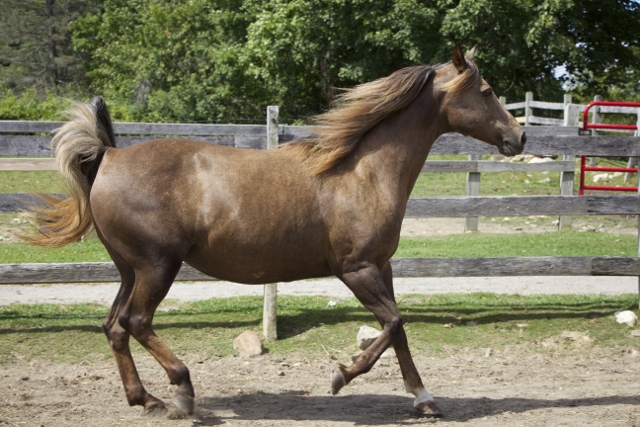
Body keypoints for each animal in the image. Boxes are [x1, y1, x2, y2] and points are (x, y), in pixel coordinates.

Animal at [25, 46, 524, 418]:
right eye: (486, 90)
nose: (519, 137)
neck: (363, 171)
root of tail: (108, 156)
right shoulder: (357, 268)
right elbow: (394, 323)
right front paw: (341, 375)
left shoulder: (382, 267)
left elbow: (397, 329)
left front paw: (425, 400)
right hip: (157, 266)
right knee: (136, 322)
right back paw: (182, 392)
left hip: (130, 270)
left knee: (114, 326)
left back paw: (146, 400)